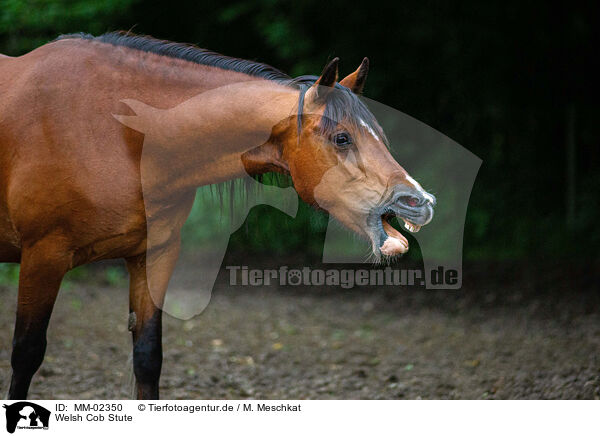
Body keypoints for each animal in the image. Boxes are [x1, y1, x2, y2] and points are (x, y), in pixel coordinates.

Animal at [0, 31, 434, 398]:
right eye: (342, 138)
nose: (419, 202)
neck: (117, 131)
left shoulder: (152, 256)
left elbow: (147, 358)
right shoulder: (44, 257)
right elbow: (25, 354)